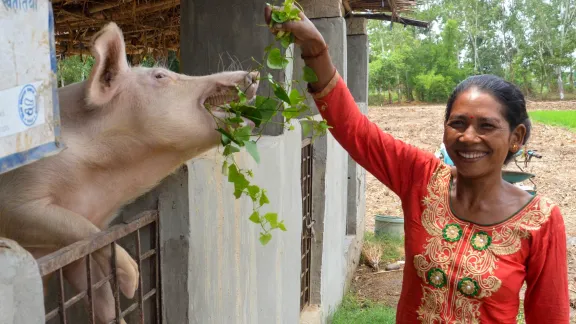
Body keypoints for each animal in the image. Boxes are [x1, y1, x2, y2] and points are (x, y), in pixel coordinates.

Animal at [0, 21, 258, 322]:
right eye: (160, 75)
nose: (254, 74)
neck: (99, 177)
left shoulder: (73, 247)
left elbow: (99, 295)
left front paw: (123, 297)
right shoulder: (18, 202)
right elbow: (80, 228)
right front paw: (132, 282)